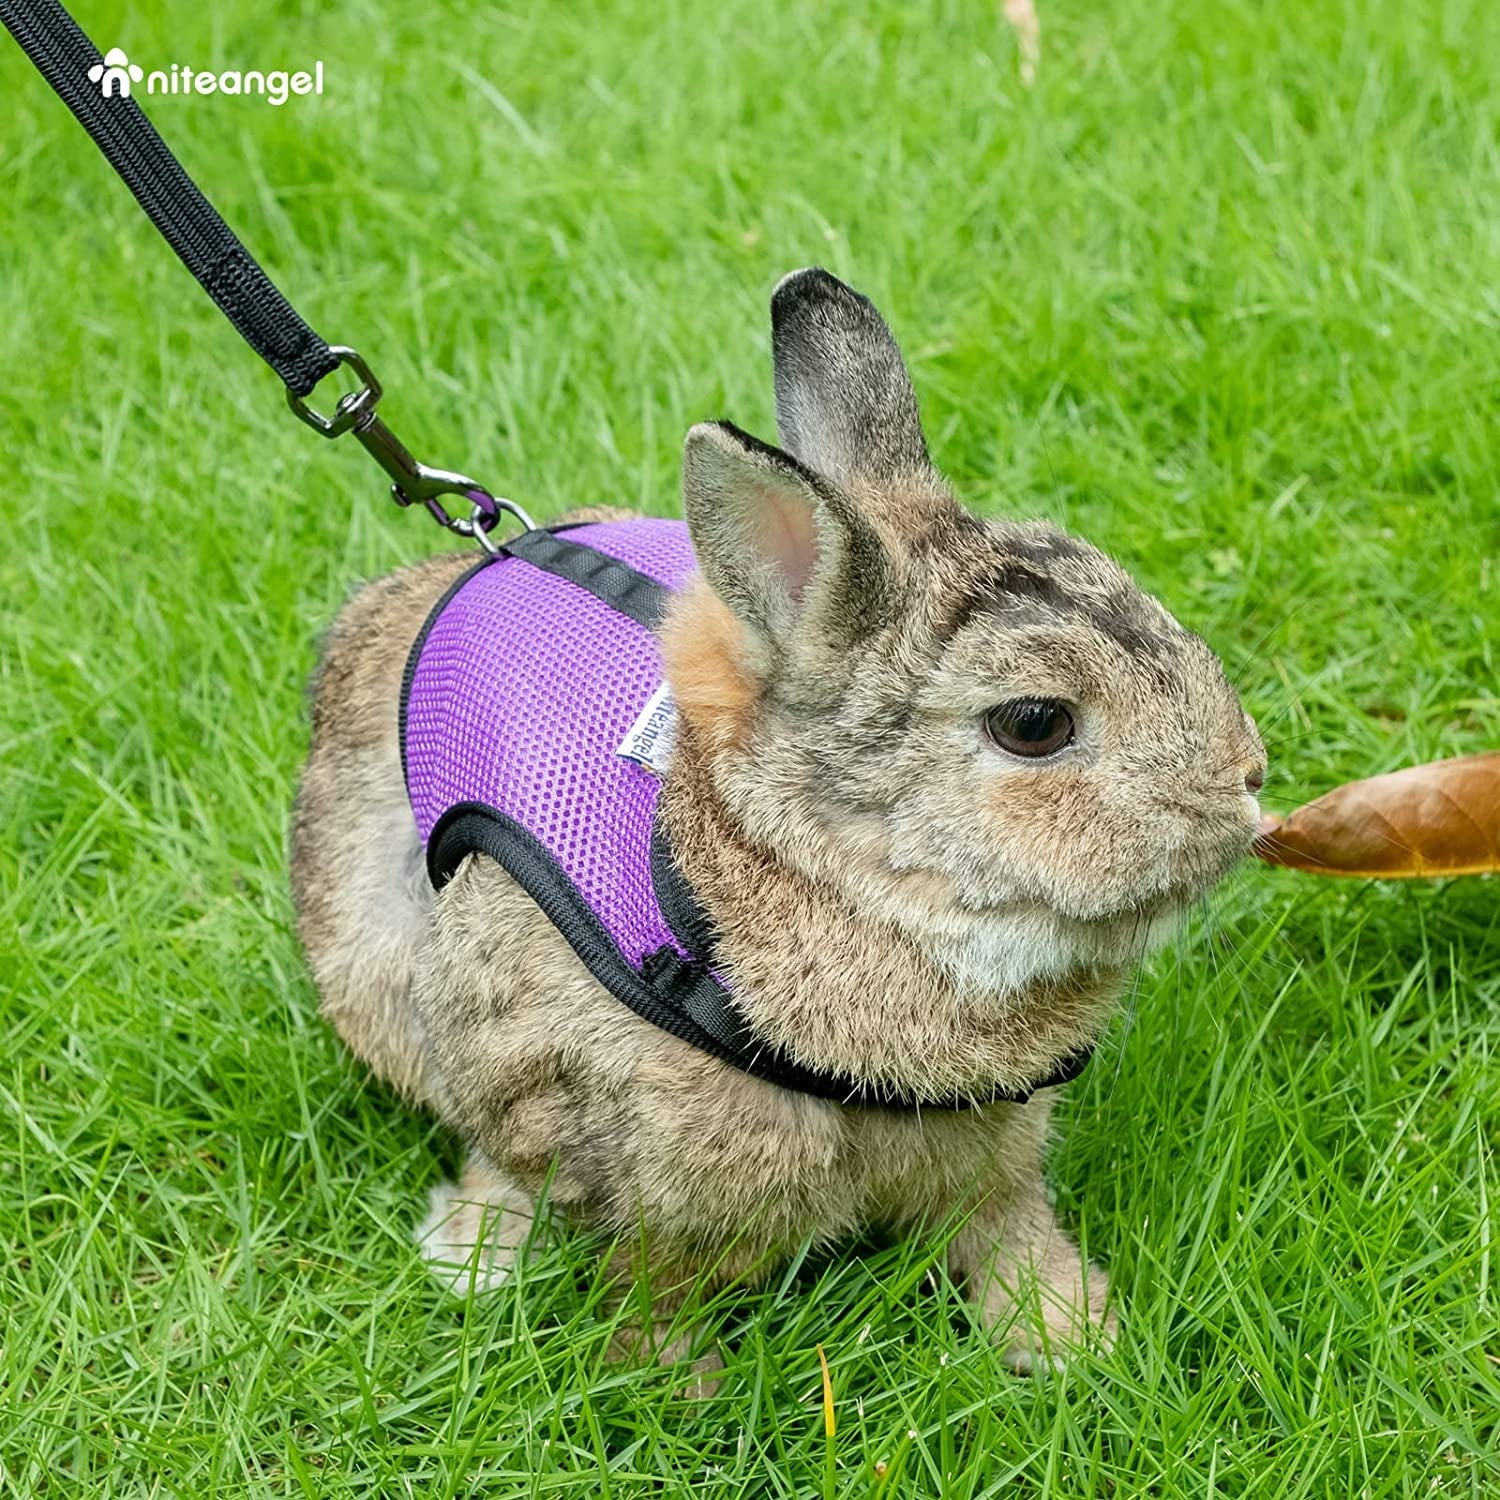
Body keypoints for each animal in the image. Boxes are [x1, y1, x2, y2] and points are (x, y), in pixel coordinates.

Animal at [291, 267, 1266, 1379]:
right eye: (1034, 724)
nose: (1250, 779)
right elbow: (631, 1262)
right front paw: (673, 1381)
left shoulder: (993, 1153)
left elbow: (1008, 1228)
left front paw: (1071, 1337)